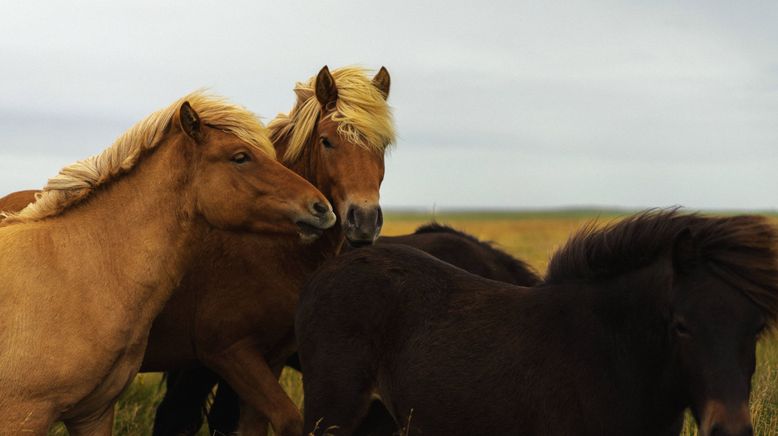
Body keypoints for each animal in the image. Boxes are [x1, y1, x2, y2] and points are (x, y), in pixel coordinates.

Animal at [142, 65, 394, 436]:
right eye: (327, 141)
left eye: (383, 144)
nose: (363, 220)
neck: (260, 246)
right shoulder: (228, 352)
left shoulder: (270, 356)